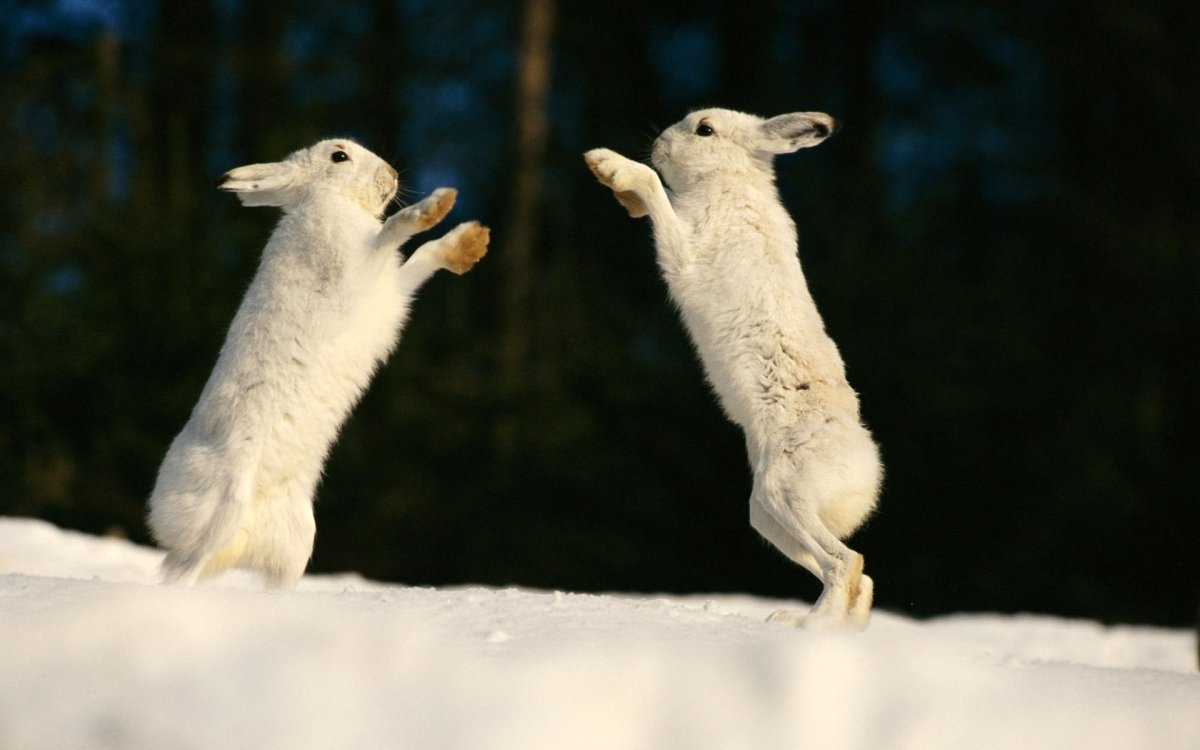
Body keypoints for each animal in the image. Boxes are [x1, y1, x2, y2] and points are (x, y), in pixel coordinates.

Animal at [147, 138, 489, 589]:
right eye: (339, 156)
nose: (391, 175)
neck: (326, 199)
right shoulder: (355, 267)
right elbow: (392, 231)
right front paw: (435, 206)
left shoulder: (391, 289)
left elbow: (422, 256)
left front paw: (470, 243)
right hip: (221, 510)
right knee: (183, 570)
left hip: (297, 539)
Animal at [585, 108, 882, 629]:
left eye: (704, 130)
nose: (660, 145)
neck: (730, 180)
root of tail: (867, 472)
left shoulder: (686, 250)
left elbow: (656, 193)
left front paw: (611, 166)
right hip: (768, 516)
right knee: (856, 575)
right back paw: (810, 625)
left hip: (786, 492)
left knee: (847, 564)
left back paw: (809, 626)